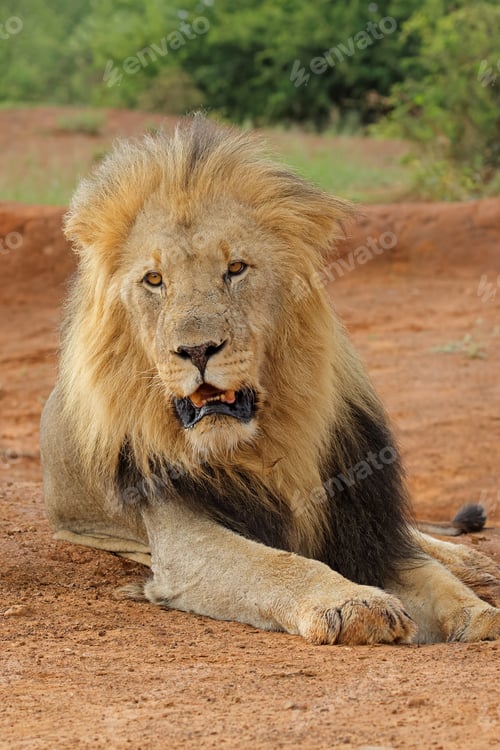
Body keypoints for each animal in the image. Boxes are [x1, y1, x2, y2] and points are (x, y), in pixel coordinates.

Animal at [40, 114, 500, 645]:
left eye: (236, 268)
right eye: (154, 280)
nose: (197, 350)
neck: (266, 444)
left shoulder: (361, 520)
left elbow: (432, 574)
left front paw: (478, 613)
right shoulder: (182, 542)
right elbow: (278, 565)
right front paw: (355, 603)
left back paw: (475, 562)